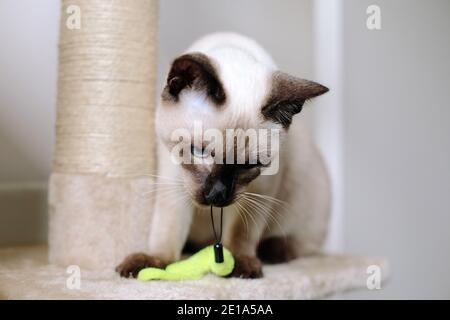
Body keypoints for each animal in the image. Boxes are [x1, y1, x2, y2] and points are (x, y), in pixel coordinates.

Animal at [117, 31, 330, 278]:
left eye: (249, 164)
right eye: (198, 152)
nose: (217, 195)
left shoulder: (259, 190)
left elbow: (241, 232)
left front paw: (240, 263)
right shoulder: (173, 177)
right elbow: (168, 229)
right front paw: (155, 262)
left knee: (299, 244)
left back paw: (272, 252)